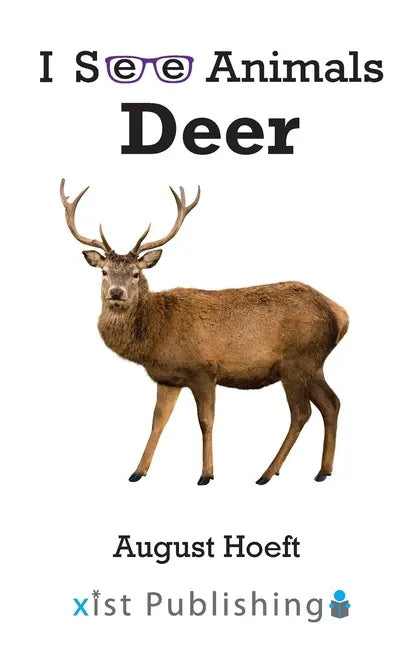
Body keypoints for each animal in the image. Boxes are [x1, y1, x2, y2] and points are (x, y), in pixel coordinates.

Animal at [60, 179, 349, 486]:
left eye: (136, 274)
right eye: (104, 272)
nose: (117, 292)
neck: (157, 334)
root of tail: (340, 314)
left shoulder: (204, 370)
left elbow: (205, 421)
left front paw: (206, 474)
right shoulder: (168, 378)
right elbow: (158, 422)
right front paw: (138, 471)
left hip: (297, 360)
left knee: (301, 413)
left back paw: (267, 473)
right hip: (312, 364)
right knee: (331, 403)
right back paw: (323, 470)